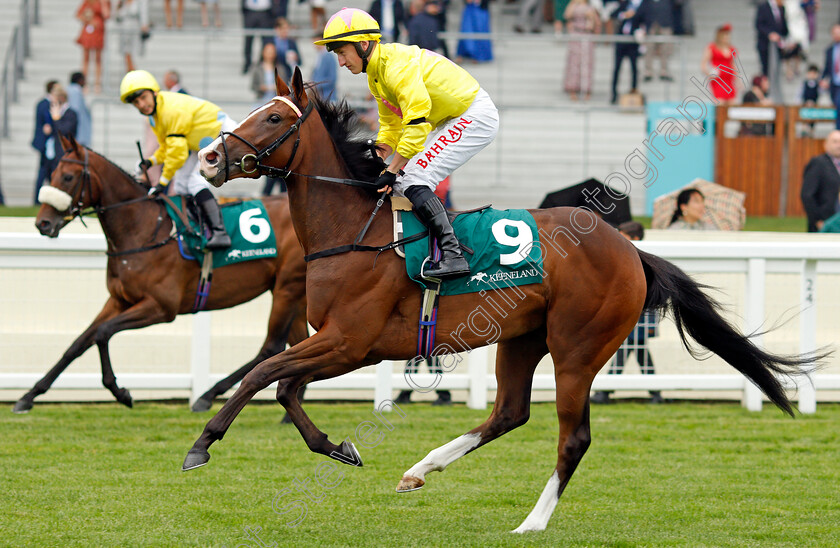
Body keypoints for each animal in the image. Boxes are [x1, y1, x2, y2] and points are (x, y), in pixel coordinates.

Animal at [13, 136, 310, 416]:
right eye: (52, 173)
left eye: (67, 177)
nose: (43, 223)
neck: (142, 227)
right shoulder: (118, 300)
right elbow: (79, 342)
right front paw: (28, 396)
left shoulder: (161, 307)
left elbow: (102, 333)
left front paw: (120, 391)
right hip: (294, 293)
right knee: (297, 345)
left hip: (286, 288)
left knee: (271, 347)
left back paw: (207, 396)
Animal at [185, 70, 820, 532]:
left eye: (272, 117)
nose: (210, 159)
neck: (355, 232)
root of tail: (629, 249)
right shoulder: (339, 344)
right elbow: (284, 387)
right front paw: (339, 447)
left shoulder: (351, 343)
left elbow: (263, 375)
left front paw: (202, 444)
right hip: (521, 339)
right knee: (510, 412)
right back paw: (421, 470)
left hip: (577, 348)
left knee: (573, 436)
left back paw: (531, 523)